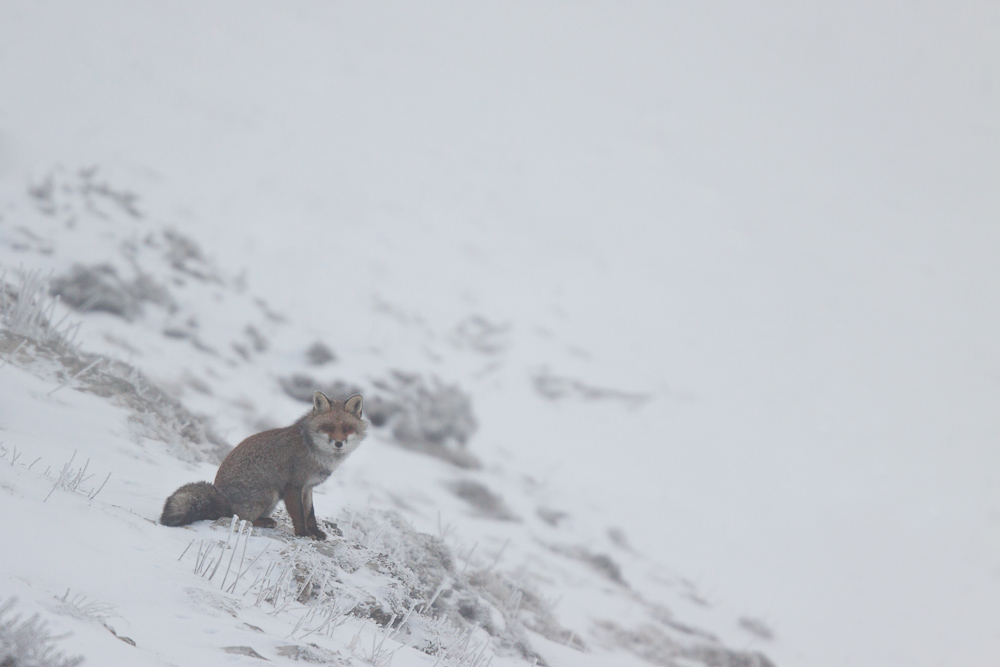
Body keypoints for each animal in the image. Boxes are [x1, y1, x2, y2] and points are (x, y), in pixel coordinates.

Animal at [160, 388, 368, 540]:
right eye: (328, 428)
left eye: (347, 429)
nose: (338, 443)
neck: (314, 451)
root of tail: (222, 498)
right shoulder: (293, 485)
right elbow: (299, 515)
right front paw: (302, 534)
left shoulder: (308, 487)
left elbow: (310, 513)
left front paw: (315, 532)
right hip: (269, 494)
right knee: (238, 517)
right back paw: (263, 522)